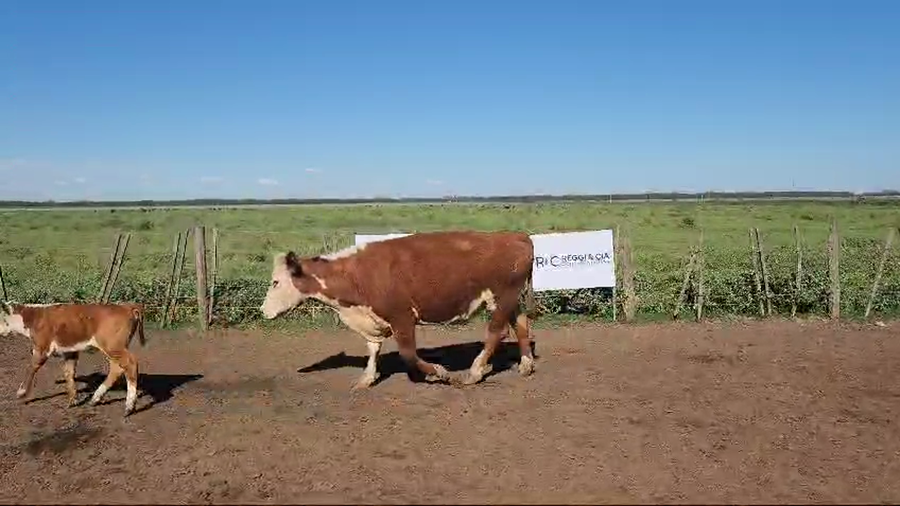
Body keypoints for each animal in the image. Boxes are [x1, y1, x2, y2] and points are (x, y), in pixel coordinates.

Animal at [0, 301, 146, 416]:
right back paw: (95, 399)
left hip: (113, 346)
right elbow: (69, 373)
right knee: (117, 369)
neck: (32, 317)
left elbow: (30, 369)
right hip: (113, 348)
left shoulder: (42, 348)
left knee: (130, 364)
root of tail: (127, 307)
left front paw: (21, 392)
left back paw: (129, 406)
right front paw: (72, 400)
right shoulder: (70, 352)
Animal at [259, 230, 537, 389]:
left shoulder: (401, 317)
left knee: (496, 331)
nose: (263, 311)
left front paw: (440, 373)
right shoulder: (372, 318)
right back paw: (525, 365)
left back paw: (475, 371)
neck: (358, 274)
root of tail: (515, 236)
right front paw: (367, 378)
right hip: (511, 299)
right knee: (521, 324)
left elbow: (408, 354)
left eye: (275, 282)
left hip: (502, 297)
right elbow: (373, 348)